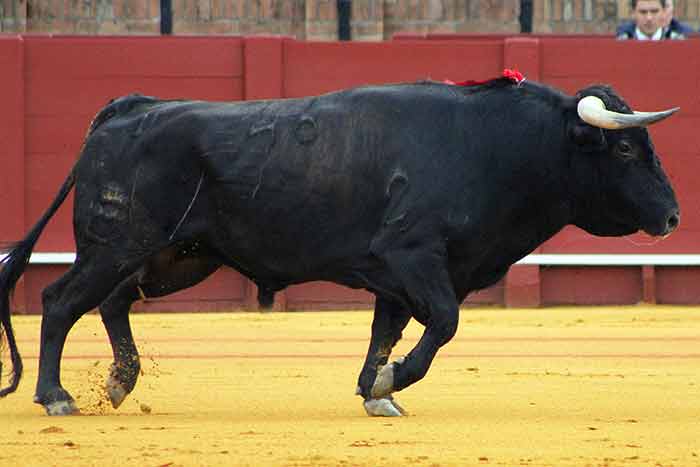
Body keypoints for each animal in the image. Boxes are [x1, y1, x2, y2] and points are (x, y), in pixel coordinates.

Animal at [0, 77, 680, 416]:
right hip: (115, 244)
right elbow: (444, 323)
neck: (497, 145)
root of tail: (127, 109)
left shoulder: (398, 276)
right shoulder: (415, 256)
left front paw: (376, 389)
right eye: (625, 148)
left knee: (113, 302)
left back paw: (120, 382)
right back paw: (56, 397)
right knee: (61, 301)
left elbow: (388, 330)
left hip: (177, 257)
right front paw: (390, 382)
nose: (673, 216)